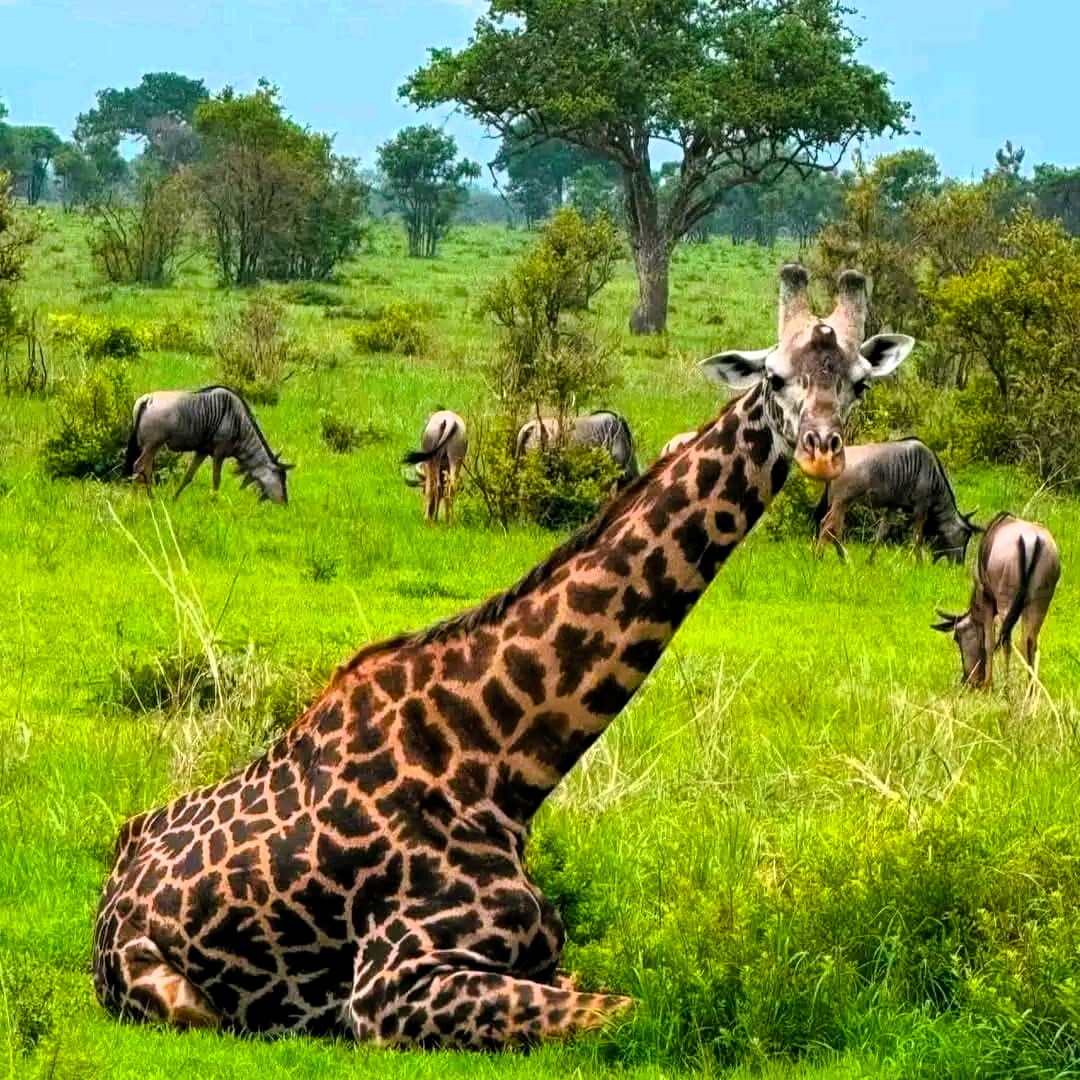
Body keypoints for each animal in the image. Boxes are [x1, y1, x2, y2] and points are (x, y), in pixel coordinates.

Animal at [123, 385, 292, 504]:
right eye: (282, 479)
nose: (284, 504)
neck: (239, 423)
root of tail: (147, 399)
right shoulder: (219, 453)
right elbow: (216, 480)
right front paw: (214, 503)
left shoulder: (202, 451)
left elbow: (188, 476)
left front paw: (174, 499)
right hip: (153, 445)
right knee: (139, 466)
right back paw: (133, 500)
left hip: (151, 446)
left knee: (146, 469)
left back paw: (151, 498)